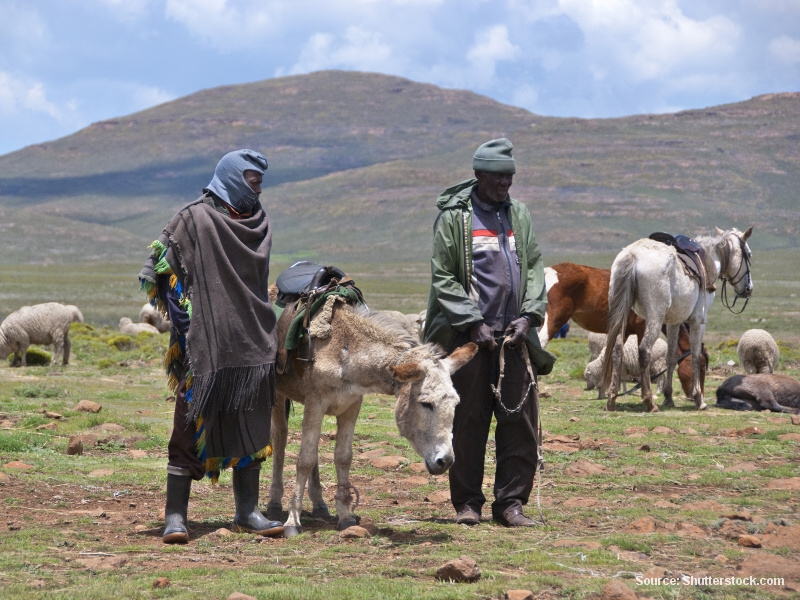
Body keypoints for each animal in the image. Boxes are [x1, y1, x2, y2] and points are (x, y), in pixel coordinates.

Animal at [268, 302, 476, 536]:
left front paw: (345, 516)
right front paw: (292, 521)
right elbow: (304, 460)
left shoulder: (351, 406)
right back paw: (275, 503)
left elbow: (343, 457)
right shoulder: (316, 403)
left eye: (456, 403)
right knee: (280, 436)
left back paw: (319, 503)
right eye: (426, 403)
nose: (445, 461)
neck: (345, 350)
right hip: (276, 394)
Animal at [604, 226, 752, 412]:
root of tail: (632, 255)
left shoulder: (673, 322)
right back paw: (649, 401)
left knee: (617, 349)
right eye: (749, 254)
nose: (748, 289)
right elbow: (695, 355)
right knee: (644, 350)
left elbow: (671, 357)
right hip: (655, 317)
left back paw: (611, 399)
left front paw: (668, 397)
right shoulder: (698, 320)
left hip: (621, 313)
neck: (711, 260)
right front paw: (699, 399)